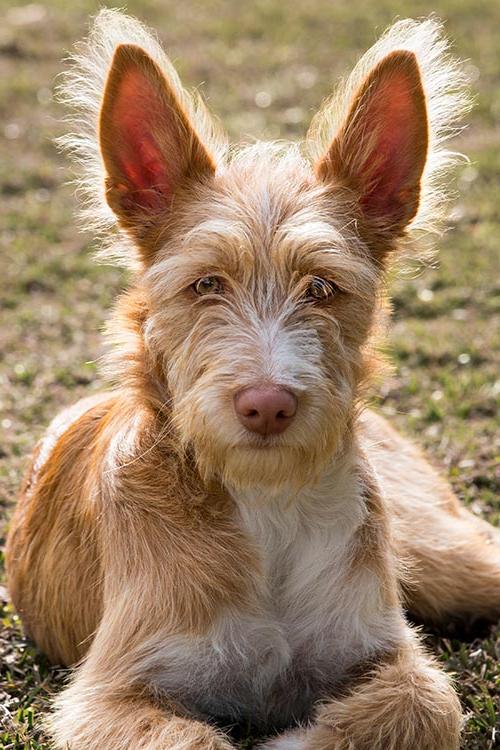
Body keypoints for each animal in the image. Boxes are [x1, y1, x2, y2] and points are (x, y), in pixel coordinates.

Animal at [4, 11, 500, 750]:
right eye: (206, 284)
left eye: (321, 288)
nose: (267, 405)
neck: (267, 510)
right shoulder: (107, 695)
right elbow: (193, 737)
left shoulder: (392, 656)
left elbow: (422, 706)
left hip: (446, 557)